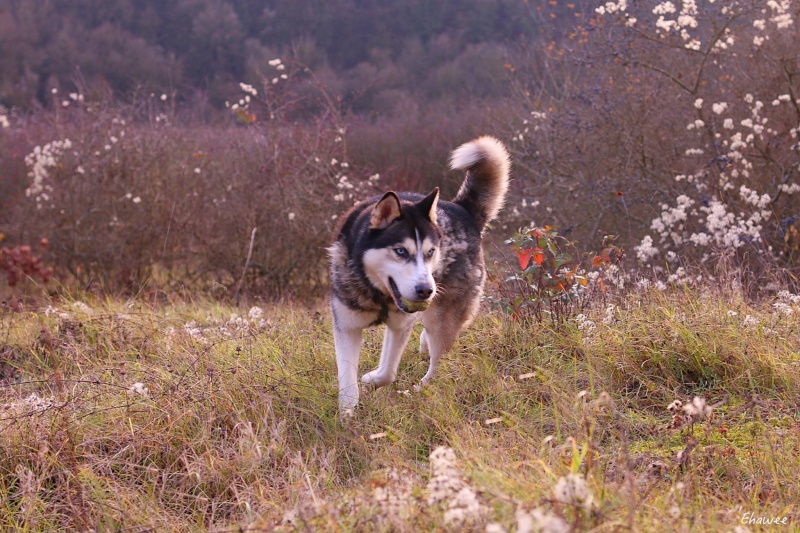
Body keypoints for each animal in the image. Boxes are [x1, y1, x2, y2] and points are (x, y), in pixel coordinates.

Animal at [328, 135, 510, 414]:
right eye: (401, 251)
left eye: (430, 252)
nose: (426, 290)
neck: (379, 295)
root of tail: (461, 209)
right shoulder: (347, 325)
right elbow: (349, 378)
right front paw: (347, 413)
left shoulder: (401, 324)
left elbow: (389, 372)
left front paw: (374, 381)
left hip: (444, 314)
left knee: (439, 355)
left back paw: (422, 386)